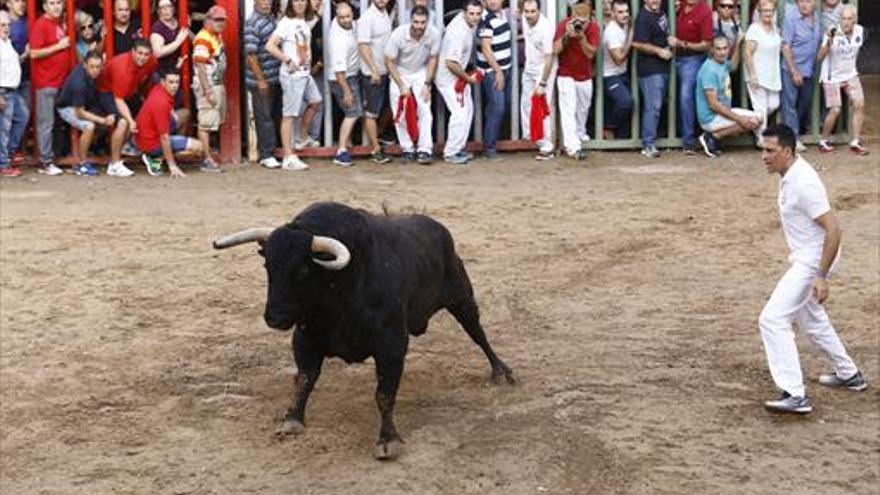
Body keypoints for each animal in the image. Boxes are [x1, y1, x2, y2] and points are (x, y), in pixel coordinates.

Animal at [214, 202, 516, 462]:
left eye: (301, 271)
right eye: (268, 266)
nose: (274, 318)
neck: (341, 284)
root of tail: (439, 231)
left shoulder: (391, 343)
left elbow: (384, 393)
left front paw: (388, 440)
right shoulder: (305, 337)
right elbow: (305, 379)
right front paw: (292, 419)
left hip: (461, 297)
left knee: (478, 333)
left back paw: (501, 371)